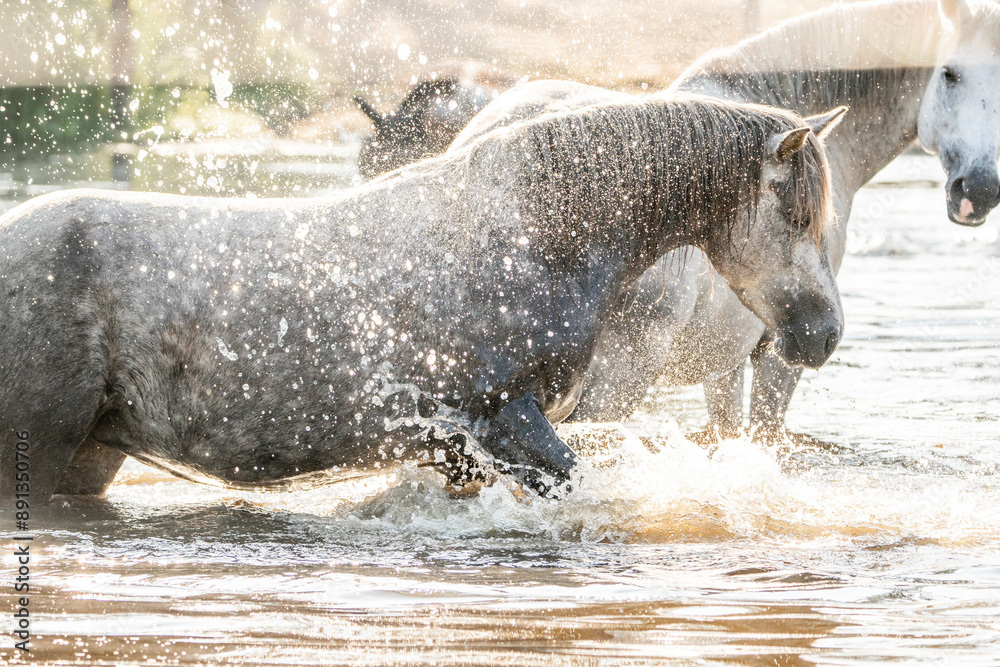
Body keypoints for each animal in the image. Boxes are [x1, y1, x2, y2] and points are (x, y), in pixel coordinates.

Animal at [0, 95, 845, 507]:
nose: (825, 333)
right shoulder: (506, 421)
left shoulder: (464, 450)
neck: (537, 232)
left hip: (89, 457)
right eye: (793, 212)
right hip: (36, 453)